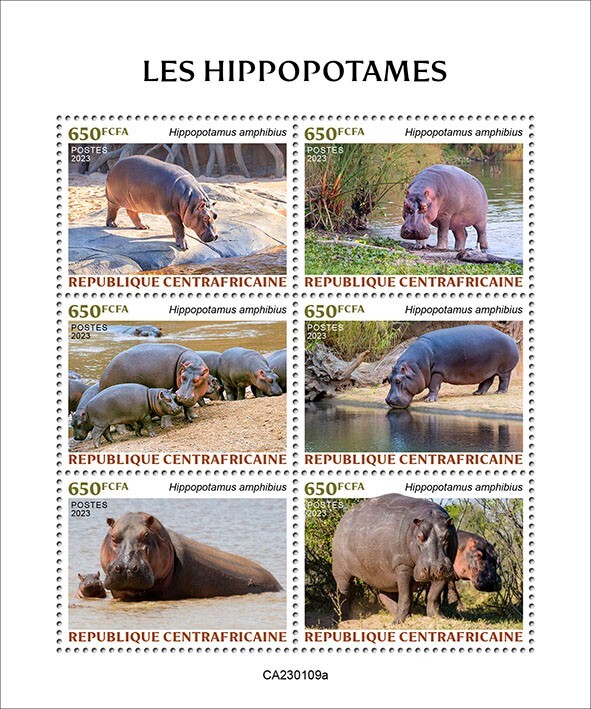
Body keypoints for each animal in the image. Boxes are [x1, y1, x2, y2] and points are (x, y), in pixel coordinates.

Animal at [332, 493, 457, 623]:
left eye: (448, 536)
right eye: (419, 536)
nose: (433, 568)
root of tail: (344, 517)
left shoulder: (445, 569)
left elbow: (434, 595)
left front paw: (439, 617)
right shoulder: (403, 566)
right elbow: (405, 595)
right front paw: (398, 622)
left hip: (382, 573)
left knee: (384, 594)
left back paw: (402, 614)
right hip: (341, 570)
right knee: (343, 590)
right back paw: (341, 619)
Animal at [385, 325, 519, 409]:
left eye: (398, 380)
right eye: (389, 379)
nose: (388, 400)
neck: (414, 367)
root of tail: (510, 338)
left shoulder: (437, 372)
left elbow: (434, 386)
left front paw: (429, 400)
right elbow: (432, 388)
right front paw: (425, 397)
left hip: (504, 369)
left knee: (504, 380)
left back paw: (500, 392)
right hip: (488, 369)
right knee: (487, 381)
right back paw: (477, 393)